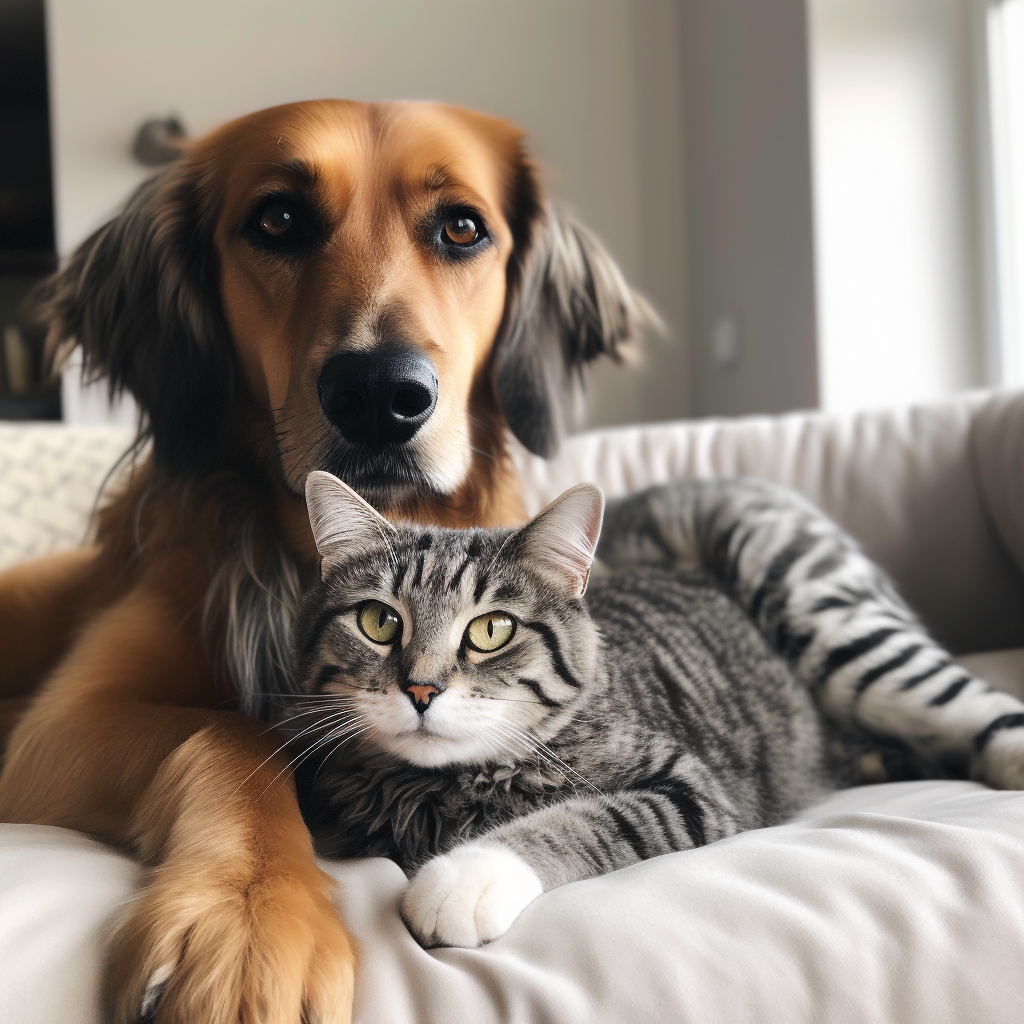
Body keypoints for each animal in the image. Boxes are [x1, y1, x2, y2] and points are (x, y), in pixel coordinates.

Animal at [0, 101, 651, 1024]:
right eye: (277, 220)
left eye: (462, 227)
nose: (380, 395)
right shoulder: (58, 726)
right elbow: (233, 729)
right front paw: (250, 924)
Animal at [274, 471, 1024, 950]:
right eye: (379, 621)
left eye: (492, 630)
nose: (422, 689)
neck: (445, 785)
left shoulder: (689, 786)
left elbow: (582, 820)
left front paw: (464, 878)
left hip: (839, 624)